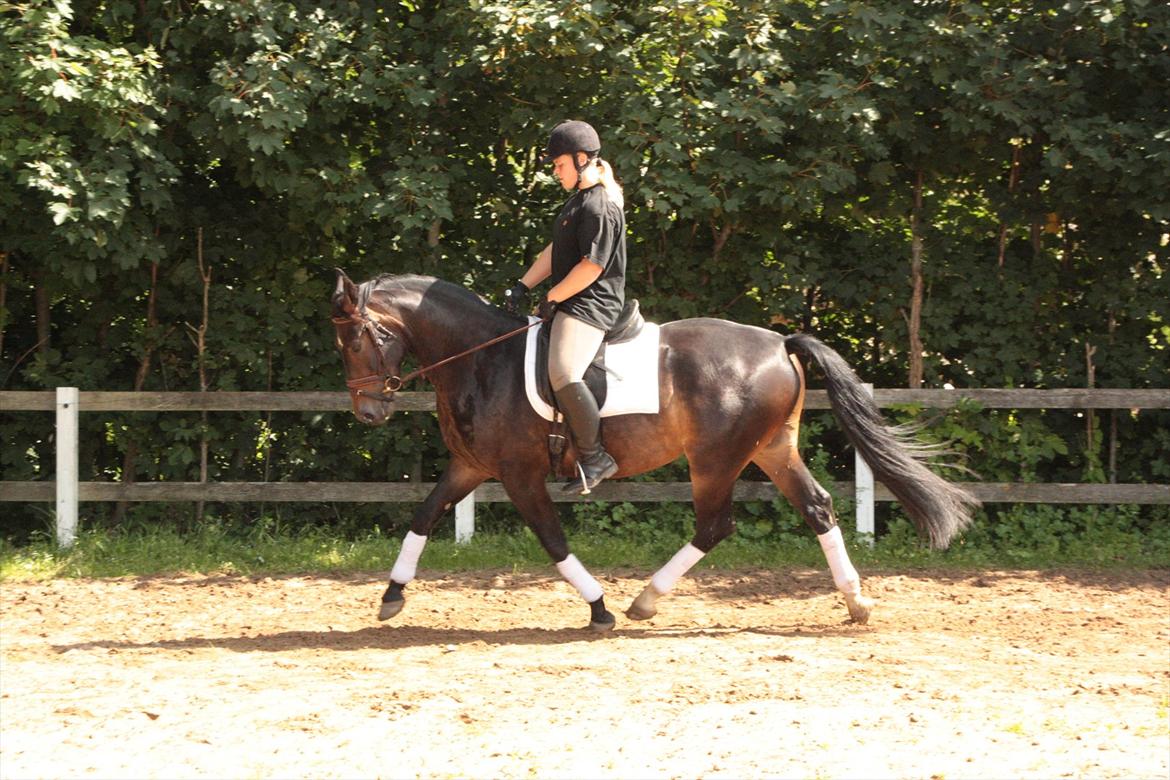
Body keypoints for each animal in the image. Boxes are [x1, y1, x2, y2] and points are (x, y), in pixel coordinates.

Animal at [329, 271, 978, 631]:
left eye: (358, 338)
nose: (368, 412)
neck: (482, 358)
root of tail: (779, 342)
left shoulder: (518, 473)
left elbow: (552, 539)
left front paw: (599, 608)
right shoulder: (472, 465)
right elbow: (423, 515)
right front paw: (391, 596)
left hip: (715, 460)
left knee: (715, 525)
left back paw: (644, 601)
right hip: (772, 448)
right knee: (817, 507)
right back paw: (855, 603)